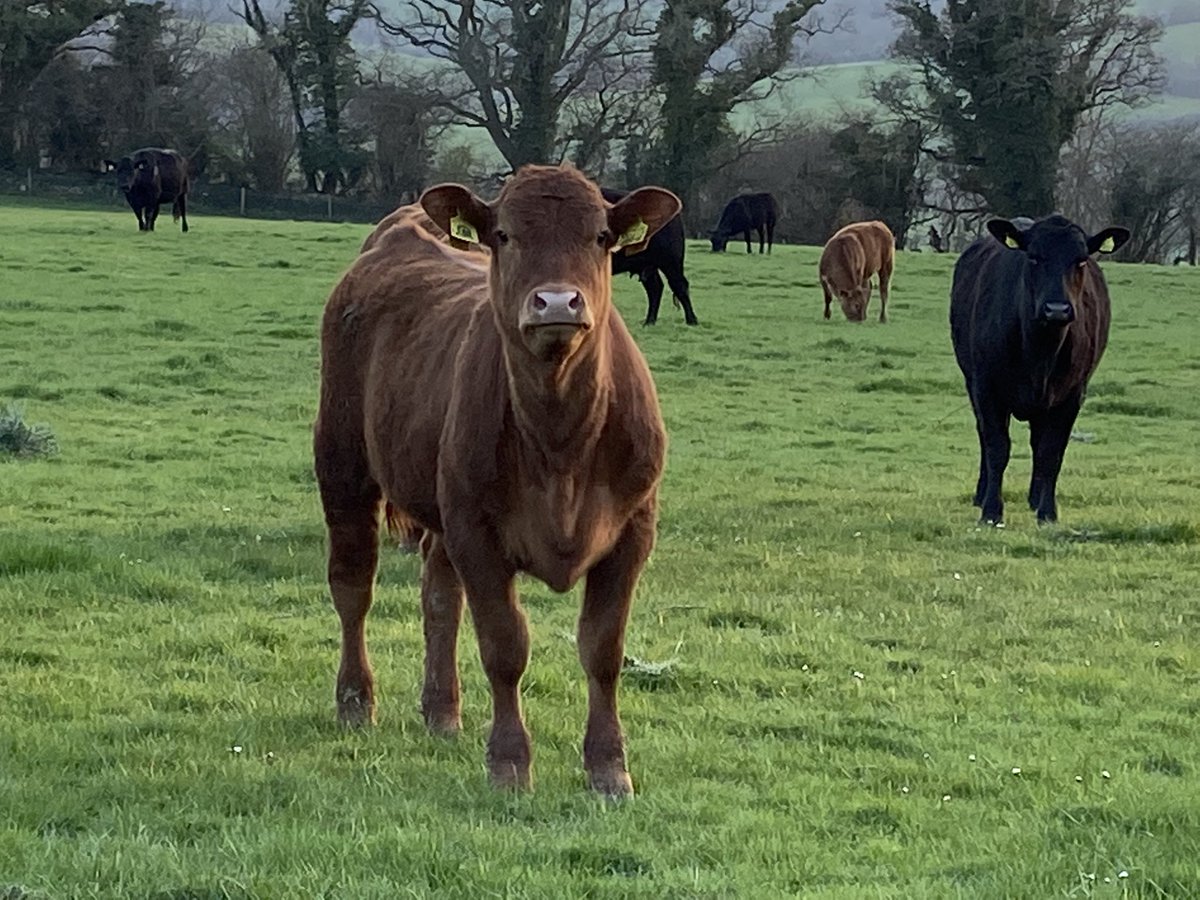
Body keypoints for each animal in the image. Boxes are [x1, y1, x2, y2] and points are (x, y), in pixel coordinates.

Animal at [314, 165, 680, 796]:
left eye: (601, 237)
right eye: (505, 235)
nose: (556, 301)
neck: (561, 441)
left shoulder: (633, 531)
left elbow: (603, 650)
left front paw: (609, 768)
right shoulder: (477, 533)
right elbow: (505, 646)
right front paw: (509, 763)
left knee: (439, 596)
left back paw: (442, 710)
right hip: (343, 465)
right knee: (353, 586)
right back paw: (356, 700)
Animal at [601, 187, 698, 326]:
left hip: (671, 262)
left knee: (679, 285)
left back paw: (692, 321)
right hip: (648, 265)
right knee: (655, 287)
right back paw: (649, 321)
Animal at [950, 214, 1130, 525]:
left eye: (1081, 260)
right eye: (1033, 258)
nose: (1056, 309)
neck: (1039, 353)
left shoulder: (1073, 395)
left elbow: (1050, 452)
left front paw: (1047, 512)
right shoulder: (986, 388)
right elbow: (997, 446)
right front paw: (991, 510)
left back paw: (1035, 499)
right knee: (985, 436)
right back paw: (982, 494)